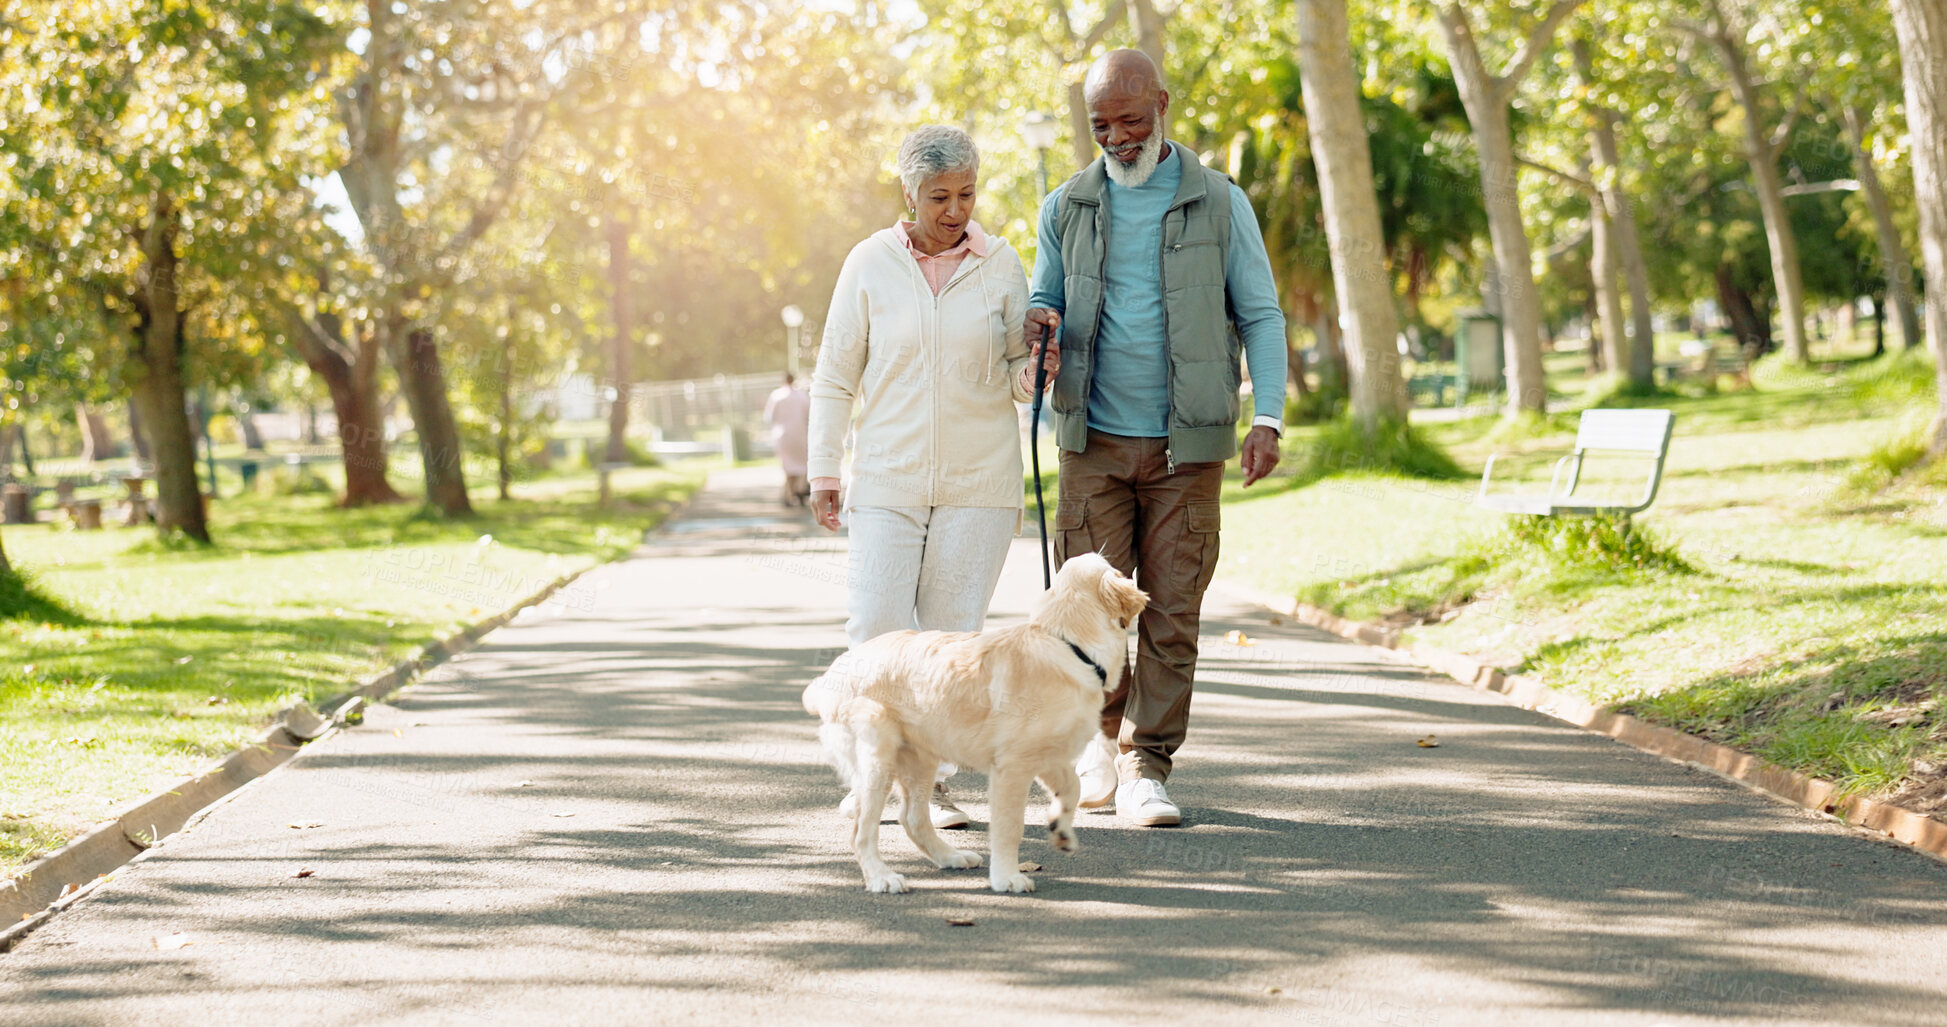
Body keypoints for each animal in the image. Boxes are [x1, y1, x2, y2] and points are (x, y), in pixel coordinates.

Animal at [802, 549, 1144, 896]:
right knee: (863, 829)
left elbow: (1073, 788)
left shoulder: (1050, 756)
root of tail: (828, 676)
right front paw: (1007, 877)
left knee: (912, 818)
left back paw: (951, 856)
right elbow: (1010, 826)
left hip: (921, 757)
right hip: (878, 759)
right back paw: (881, 877)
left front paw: (1060, 830)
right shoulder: (1012, 767)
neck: (1069, 645)